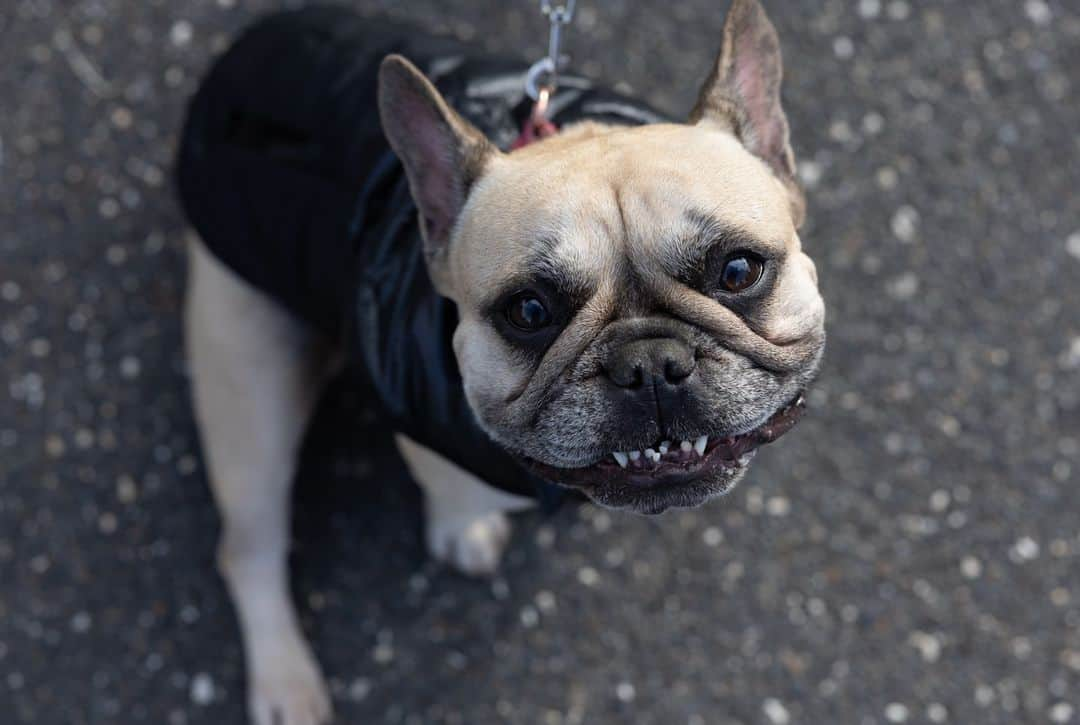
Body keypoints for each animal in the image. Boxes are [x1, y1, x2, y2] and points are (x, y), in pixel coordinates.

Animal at [172, 2, 820, 721]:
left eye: (738, 270)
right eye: (529, 311)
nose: (649, 361)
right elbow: (450, 489)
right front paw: (465, 528)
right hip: (251, 389)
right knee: (247, 547)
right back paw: (283, 680)